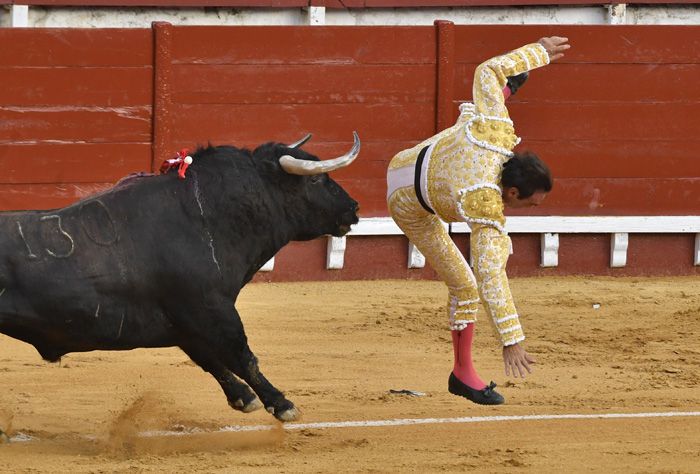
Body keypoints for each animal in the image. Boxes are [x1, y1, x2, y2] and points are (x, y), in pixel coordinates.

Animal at [0, 131, 360, 420]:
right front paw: (283, 404)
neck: (212, 216)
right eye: (315, 180)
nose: (353, 208)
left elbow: (210, 358)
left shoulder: (185, 321)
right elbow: (242, 356)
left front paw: (244, 398)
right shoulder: (211, 307)